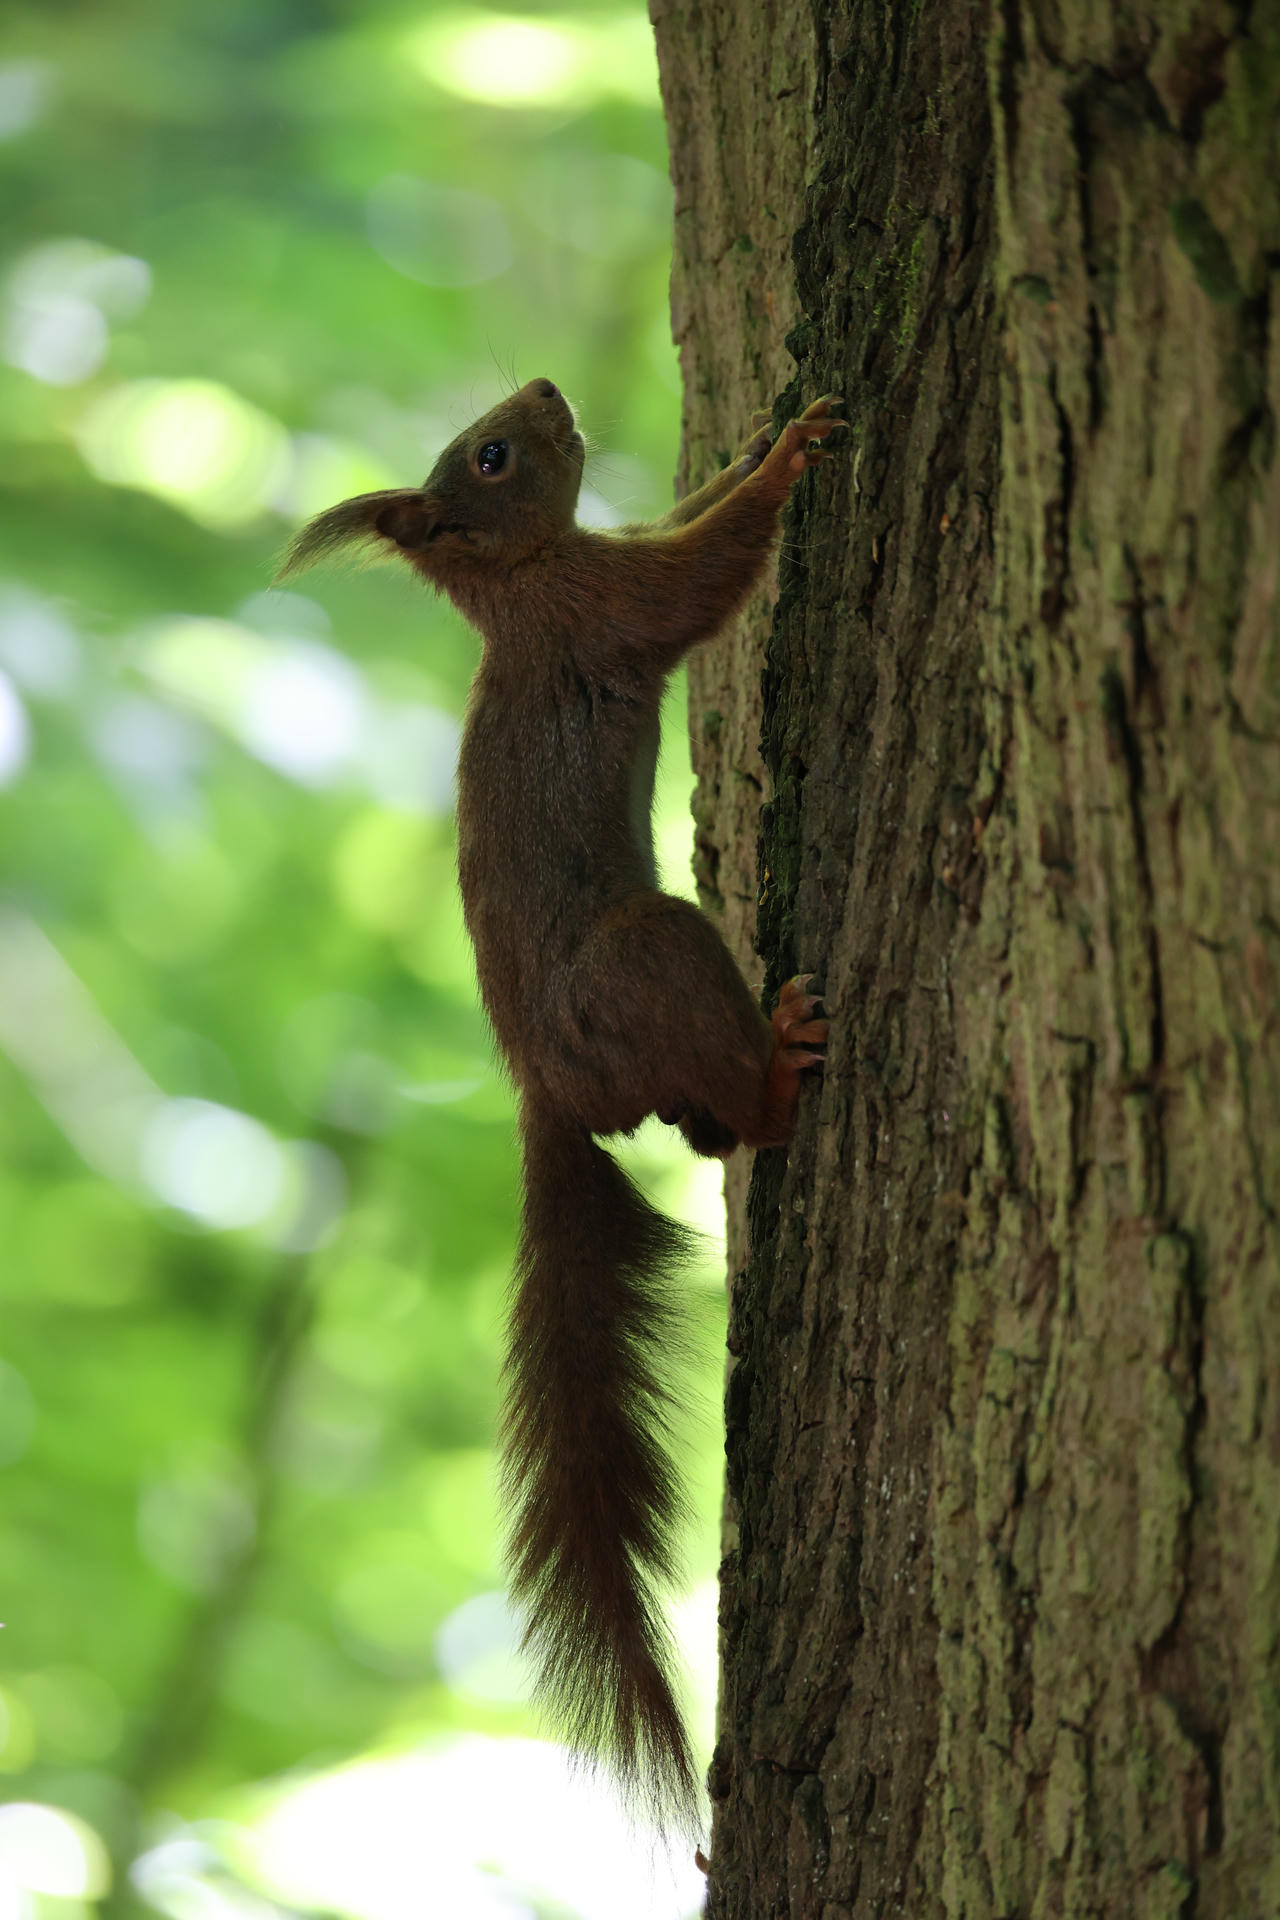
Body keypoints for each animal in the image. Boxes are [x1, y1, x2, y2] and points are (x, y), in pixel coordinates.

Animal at [279, 377, 839, 1833]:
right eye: (491, 456)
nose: (544, 392)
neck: (521, 575)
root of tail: (549, 1086)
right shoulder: (605, 601)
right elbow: (700, 574)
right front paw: (790, 457)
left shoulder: (607, 556)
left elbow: (688, 515)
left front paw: (756, 442)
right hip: (652, 957)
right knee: (732, 1110)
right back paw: (776, 1071)